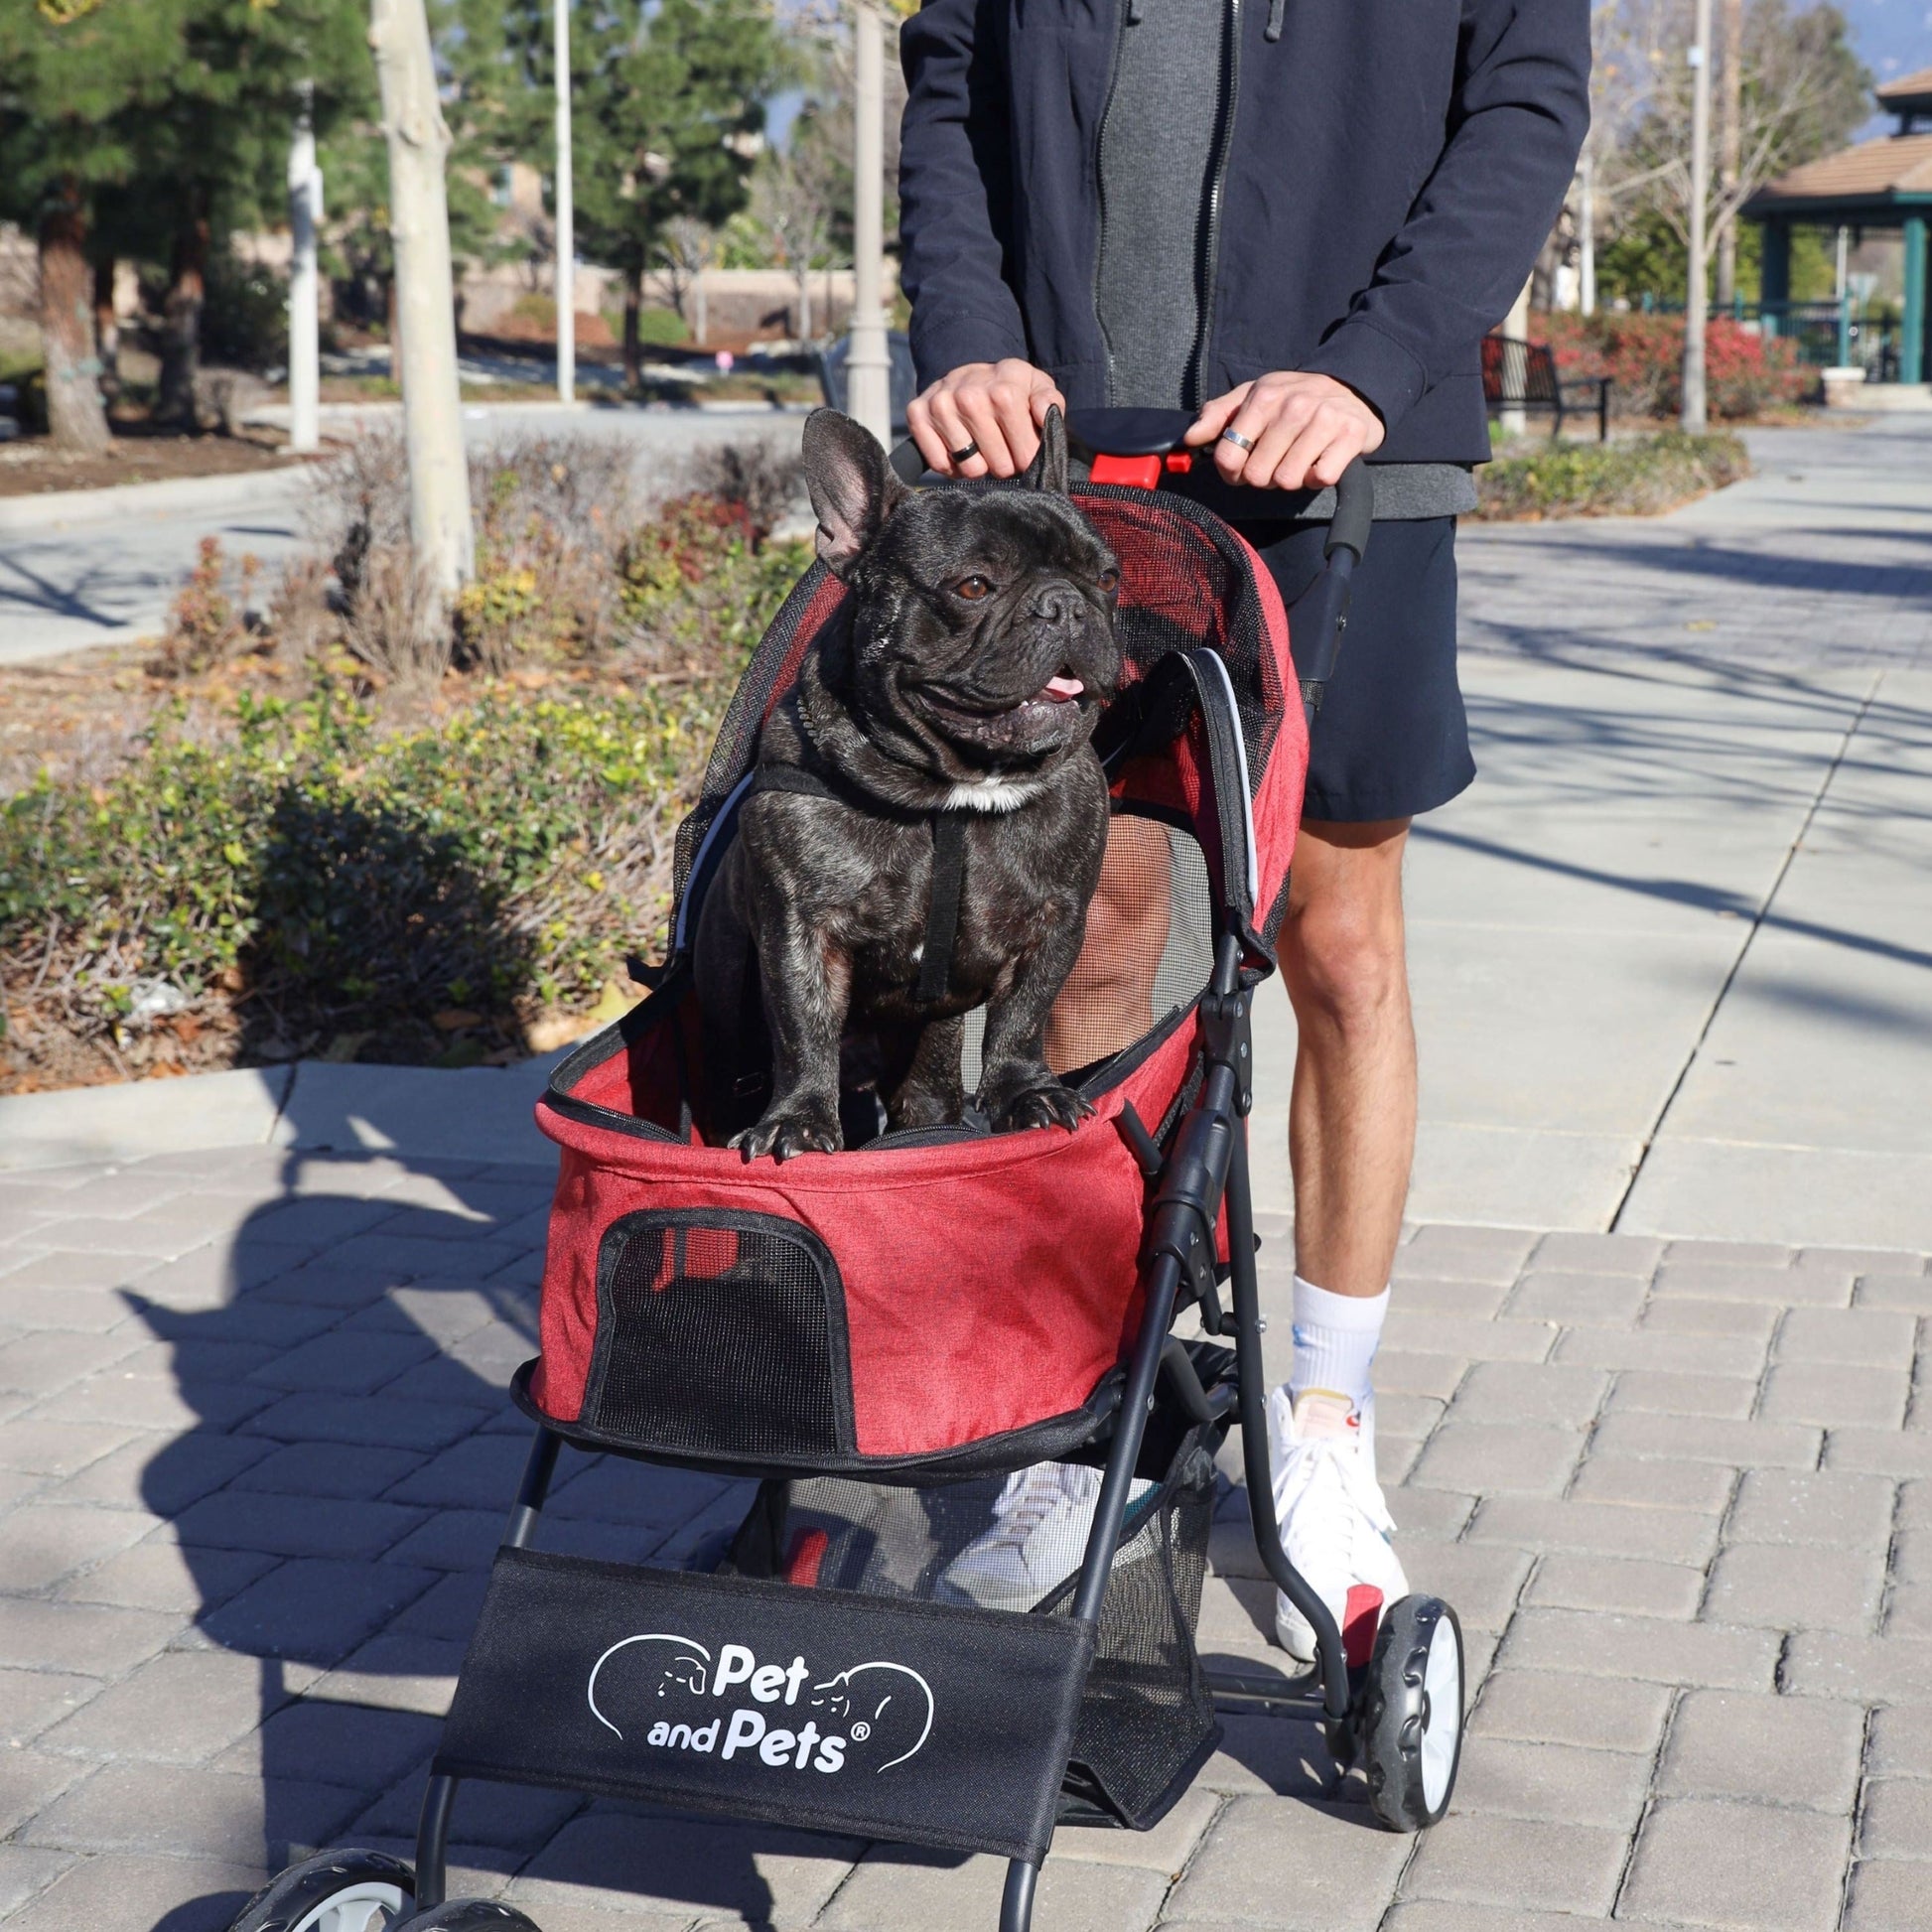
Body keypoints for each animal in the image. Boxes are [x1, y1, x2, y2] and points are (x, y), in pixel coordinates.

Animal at [695, 403, 1120, 1159]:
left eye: (1106, 578)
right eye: (974, 586)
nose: (1067, 604)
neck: (952, 795)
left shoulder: (1056, 920)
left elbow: (1024, 1014)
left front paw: (1026, 1093)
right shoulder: (801, 929)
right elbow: (802, 1029)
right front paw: (798, 1119)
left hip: (929, 1061)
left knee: (927, 1099)